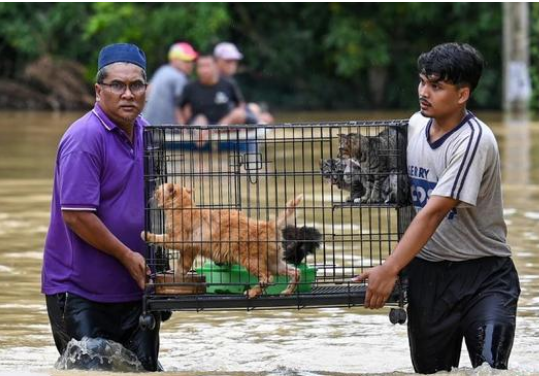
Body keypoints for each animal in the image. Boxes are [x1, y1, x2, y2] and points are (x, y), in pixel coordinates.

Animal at [143, 184, 304, 298]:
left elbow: (160, 238)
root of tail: (268, 225)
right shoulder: (189, 250)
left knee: (268, 278)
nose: (153, 191)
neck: (184, 206)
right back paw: (288, 291)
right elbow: (181, 267)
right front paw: (177, 277)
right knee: (295, 271)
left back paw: (252, 292)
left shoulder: (178, 239)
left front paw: (147, 235)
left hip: (251, 260)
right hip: (274, 263)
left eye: (157, 190)